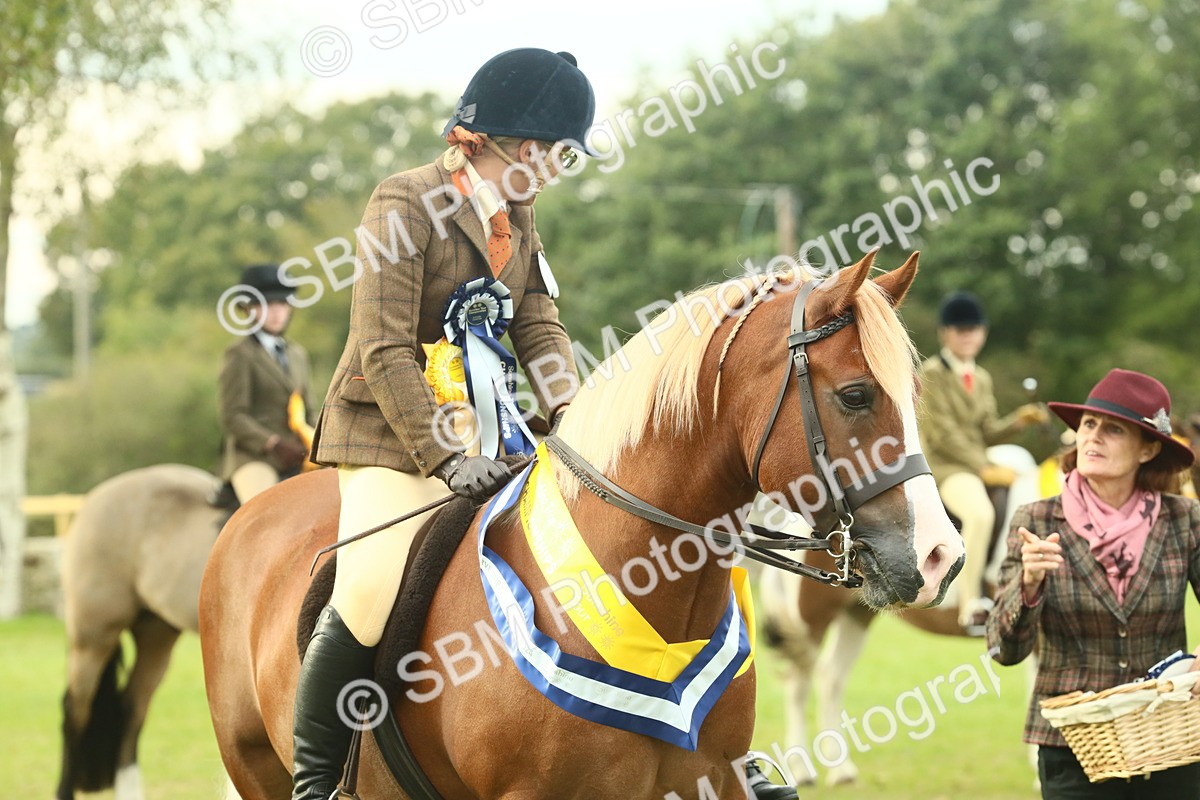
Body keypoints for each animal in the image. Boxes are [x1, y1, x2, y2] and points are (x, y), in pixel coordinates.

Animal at [198, 250, 965, 800]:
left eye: (915, 393)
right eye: (857, 395)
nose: (942, 557)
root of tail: (251, 514)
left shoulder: (709, 781)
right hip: (253, 766)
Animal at [757, 444, 1043, 787]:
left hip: (856, 616)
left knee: (831, 677)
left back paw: (840, 769)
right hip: (813, 619)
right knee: (799, 684)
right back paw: (801, 770)